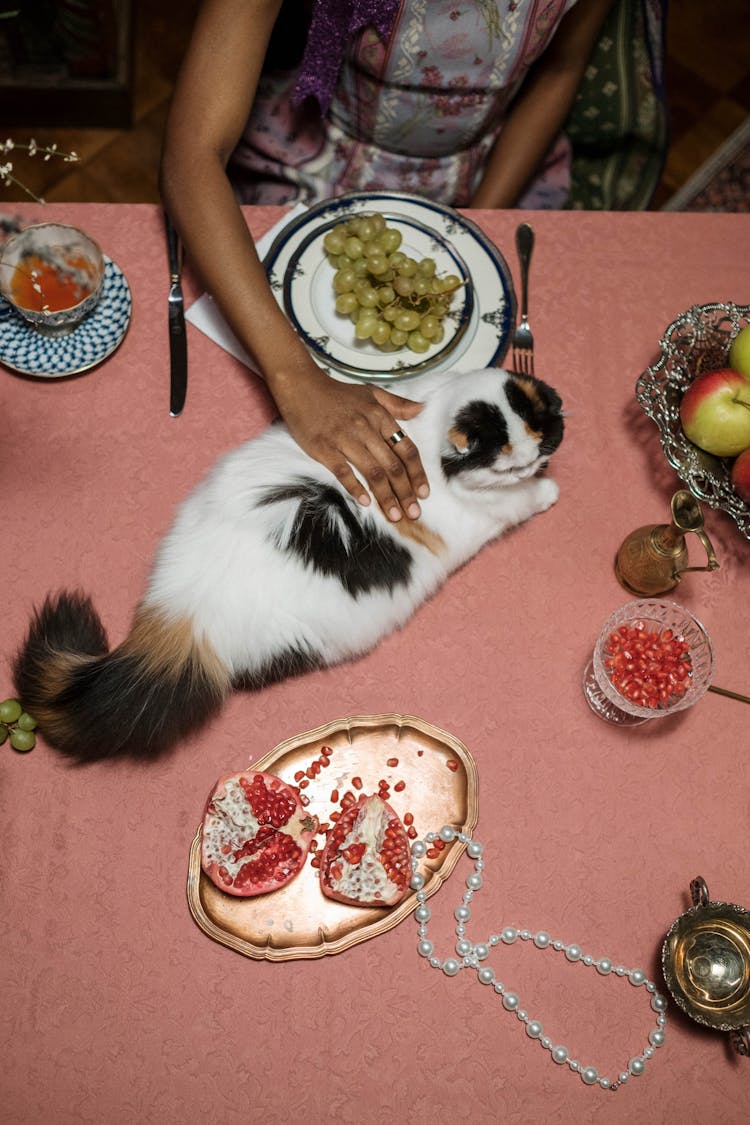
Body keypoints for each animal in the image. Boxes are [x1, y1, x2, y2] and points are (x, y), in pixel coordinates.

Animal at [14, 369, 562, 765]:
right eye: (507, 461)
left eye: (539, 429)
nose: (535, 456)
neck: (425, 441)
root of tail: (185, 611)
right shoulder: (494, 510)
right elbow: (524, 500)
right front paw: (548, 490)